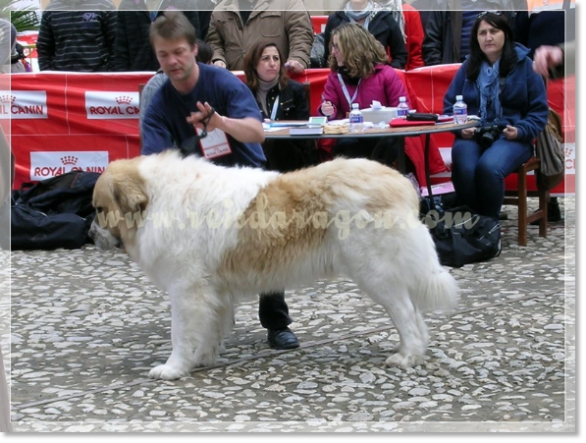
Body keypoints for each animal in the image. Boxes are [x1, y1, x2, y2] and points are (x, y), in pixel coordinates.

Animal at [90, 151, 456, 380]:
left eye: (98, 208)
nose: (90, 234)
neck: (157, 200)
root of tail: (401, 182)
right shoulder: (212, 291)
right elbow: (209, 329)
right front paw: (203, 359)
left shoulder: (187, 289)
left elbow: (180, 333)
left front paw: (173, 368)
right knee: (414, 313)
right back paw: (413, 351)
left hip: (374, 272)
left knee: (405, 313)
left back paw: (407, 357)